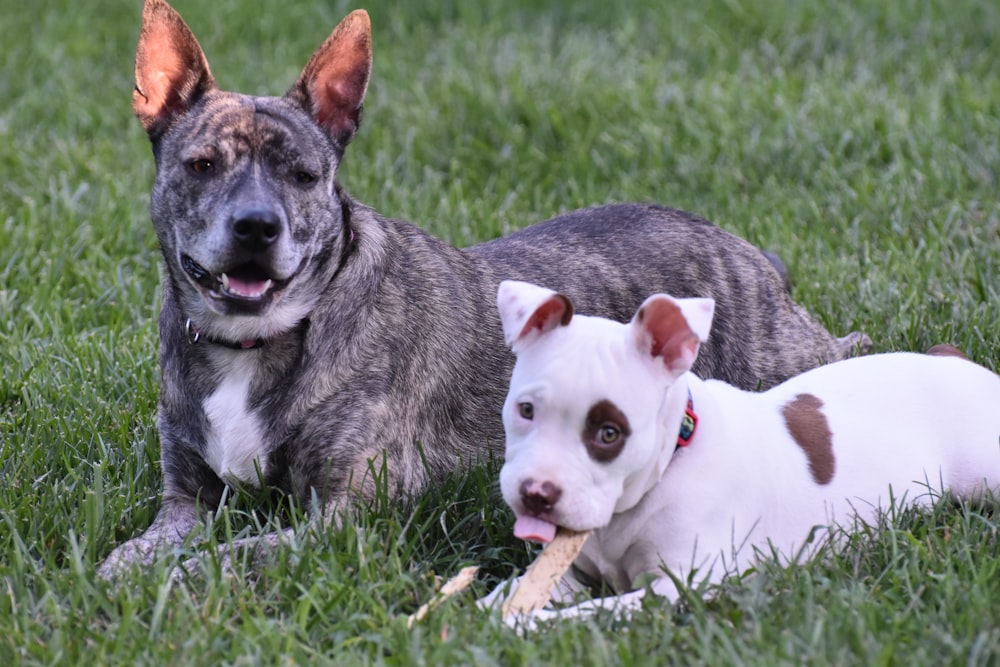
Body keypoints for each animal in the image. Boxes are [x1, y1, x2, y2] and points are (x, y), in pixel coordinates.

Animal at [490, 280, 1000, 620]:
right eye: (526, 410)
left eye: (610, 433)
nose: (536, 493)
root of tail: (952, 360)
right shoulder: (572, 572)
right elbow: (513, 590)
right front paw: (481, 613)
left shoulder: (678, 586)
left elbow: (588, 614)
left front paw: (522, 626)